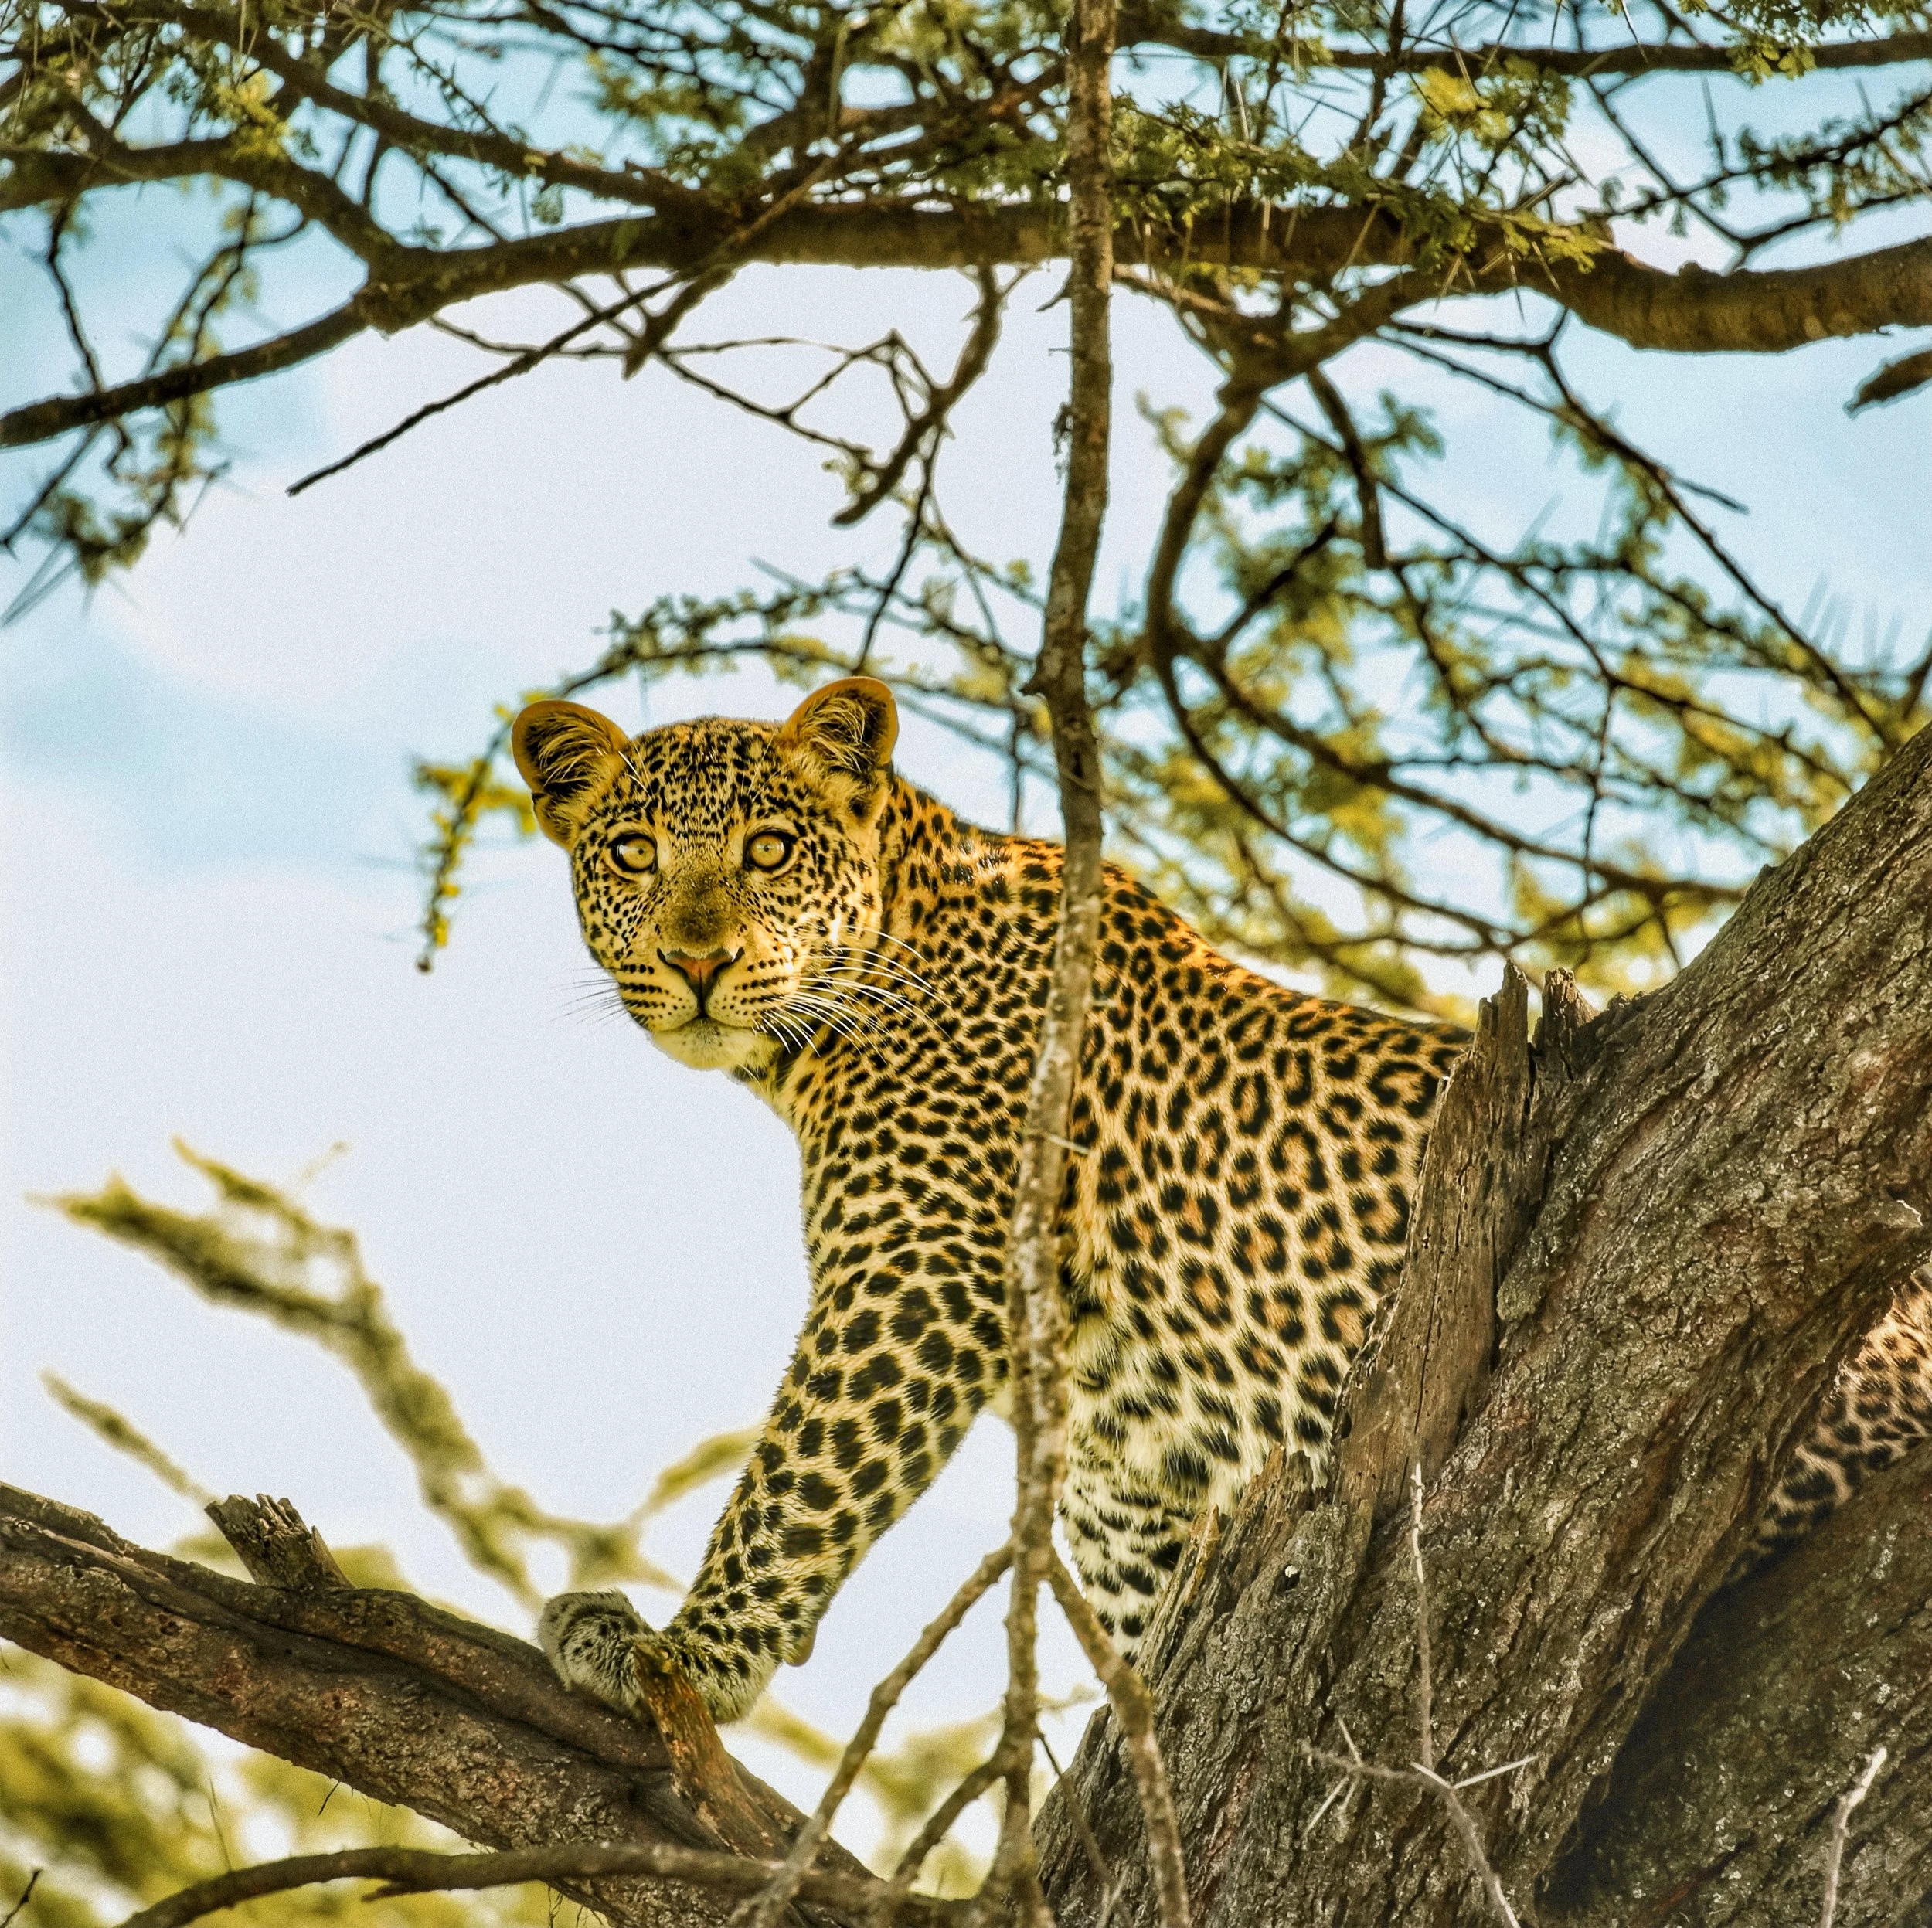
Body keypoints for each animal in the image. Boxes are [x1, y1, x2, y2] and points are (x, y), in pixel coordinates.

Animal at [511, 675, 1932, 1724]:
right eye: (632, 854)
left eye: (767, 852)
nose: (698, 958)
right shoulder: (1124, 1452)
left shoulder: (926, 1266)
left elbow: (800, 1480)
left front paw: (681, 1657)